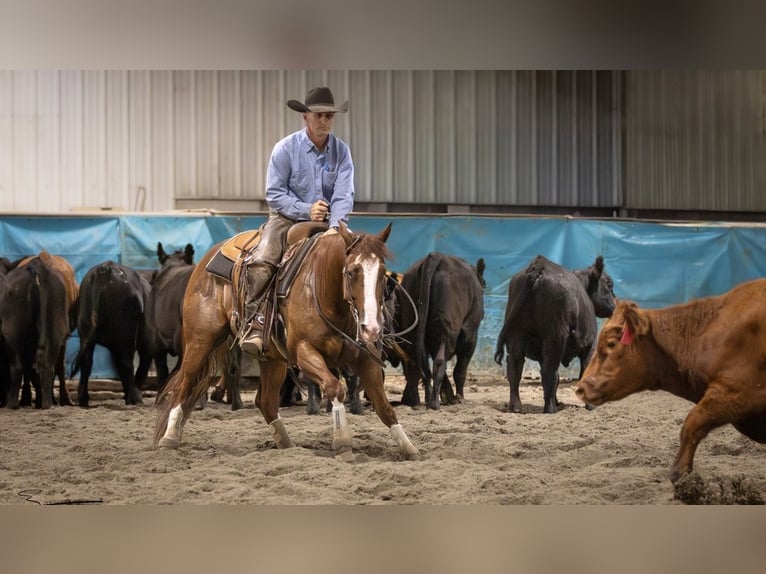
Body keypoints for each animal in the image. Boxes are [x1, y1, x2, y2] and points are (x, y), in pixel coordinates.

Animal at [154, 222, 420, 462]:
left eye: (382, 274)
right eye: (352, 271)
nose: (372, 328)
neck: (325, 293)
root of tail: (205, 261)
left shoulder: (366, 359)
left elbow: (384, 406)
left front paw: (409, 448)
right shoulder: (304, 352)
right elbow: (335, 387)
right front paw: (343, 442)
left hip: (272, 359)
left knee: (266, 401)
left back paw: (287, 445)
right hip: (200, 341)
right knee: (184, 383)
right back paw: (169, 438)